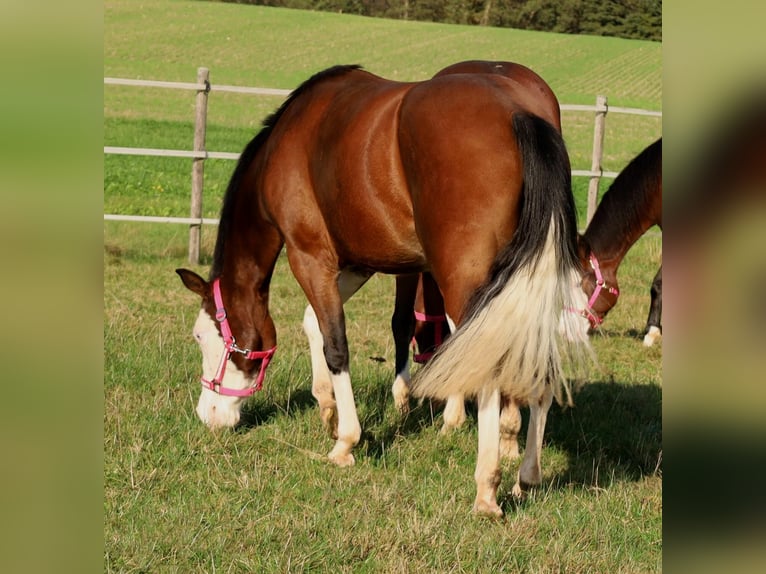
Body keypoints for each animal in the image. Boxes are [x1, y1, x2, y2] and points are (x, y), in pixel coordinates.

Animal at [177, 63, 592, 516]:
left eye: (201, 337)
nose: (207, 414)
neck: (287, 143)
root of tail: (517, 109)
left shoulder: (310, 255)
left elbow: (336, 344)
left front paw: (346, 441)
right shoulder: (358, 262)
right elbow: (314, 322)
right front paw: (327, 407)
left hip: (468, 282)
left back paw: (487, 487)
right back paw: (526, 474)